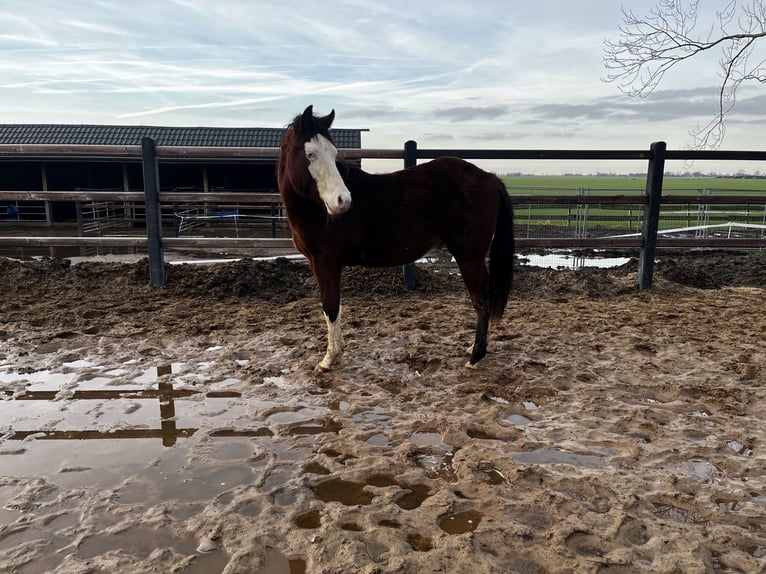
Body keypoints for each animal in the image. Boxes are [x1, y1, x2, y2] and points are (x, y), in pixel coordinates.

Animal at [277, 105, 514, 372]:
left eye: (334, 154)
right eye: (310, 154)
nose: (343, 201)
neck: (315, 210)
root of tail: (488, 177)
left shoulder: (326, 262)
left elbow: (331, 306)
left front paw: (328, 360)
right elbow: (331, 307)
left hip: (469, 256)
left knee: (482, 301)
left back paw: (475, 356)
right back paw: (474, 348)